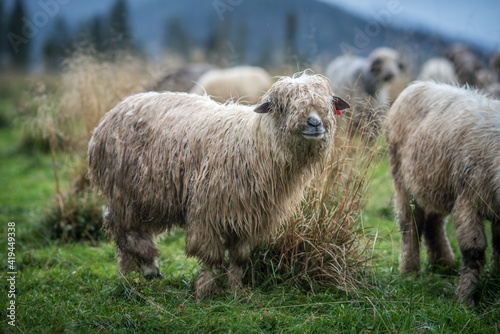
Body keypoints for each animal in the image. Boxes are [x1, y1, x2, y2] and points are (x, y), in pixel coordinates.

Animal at [87, 72, 352, 300]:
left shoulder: (251, 217)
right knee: (119, 227)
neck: (256, 144)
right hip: (123, 191)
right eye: (283, 106)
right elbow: (211, 258)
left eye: (329, 103)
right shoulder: (207, 212)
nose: (314, 123)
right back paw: (146, 267)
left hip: (149, 196)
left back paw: (130, 271)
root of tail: (112, 114)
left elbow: (239, 258)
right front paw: (205, 291)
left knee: (131, 231)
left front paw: (235, 290)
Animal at [384, 80, 500, 306]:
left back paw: (444, 263)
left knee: (434, 224)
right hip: (402, 180)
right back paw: (409, 272)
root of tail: (418, 84)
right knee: (410, 226)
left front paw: (496, 281)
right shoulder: (468, 199)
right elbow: (474, 249)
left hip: (436, 185)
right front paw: (466, 299)